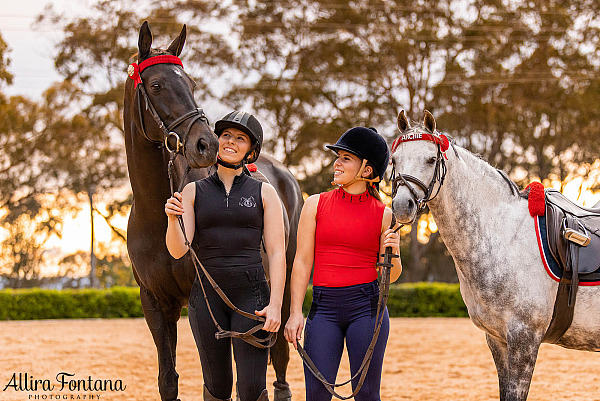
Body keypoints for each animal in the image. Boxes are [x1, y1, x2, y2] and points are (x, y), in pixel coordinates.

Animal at [125, 22, 304, 400]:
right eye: (157, 85)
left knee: (278, 360)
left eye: (191, 83)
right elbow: (168, 379)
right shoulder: (155, 304)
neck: (156, 217)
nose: (206, 144)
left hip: (280, 292)